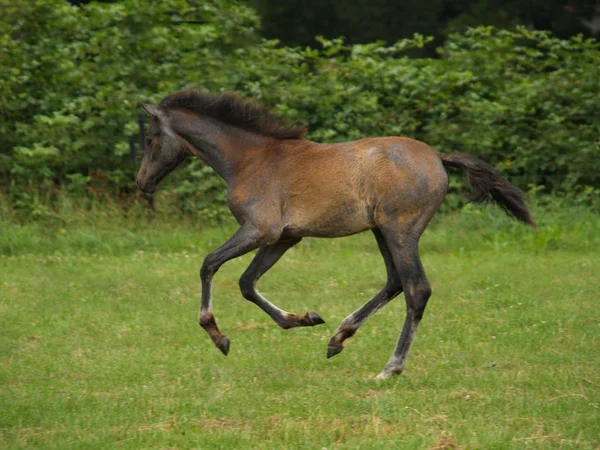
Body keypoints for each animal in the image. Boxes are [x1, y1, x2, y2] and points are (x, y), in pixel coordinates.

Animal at [136, 89, 536, 380]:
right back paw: (338, 337)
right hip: (380, 231)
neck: (249, 159)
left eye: (151, 139)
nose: (142, 183)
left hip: (400, 230)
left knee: (416, 289)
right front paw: (303, 319)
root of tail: (438, 158)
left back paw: (390, 368)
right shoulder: (284, 238)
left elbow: (209, 264)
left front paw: (218, 336)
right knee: (394, 282)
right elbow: (247, 283)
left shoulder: (260, 230)